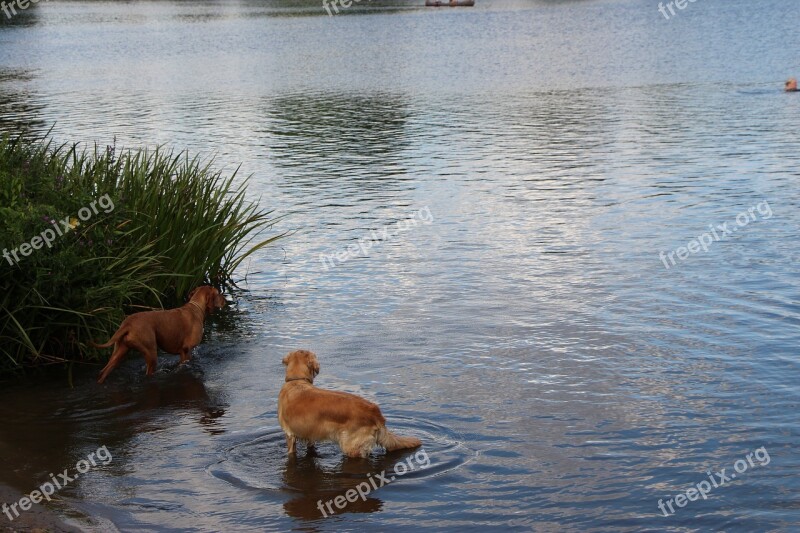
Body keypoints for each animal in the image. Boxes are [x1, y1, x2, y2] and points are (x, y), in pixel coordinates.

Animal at [93, 286, 225, 382]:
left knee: (102, 372)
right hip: (151, 352)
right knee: (149, 373)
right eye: (218, 293)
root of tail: (128, 324)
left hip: (119, 352)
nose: (226, 300)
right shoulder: (186, 350)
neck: (196, 308)